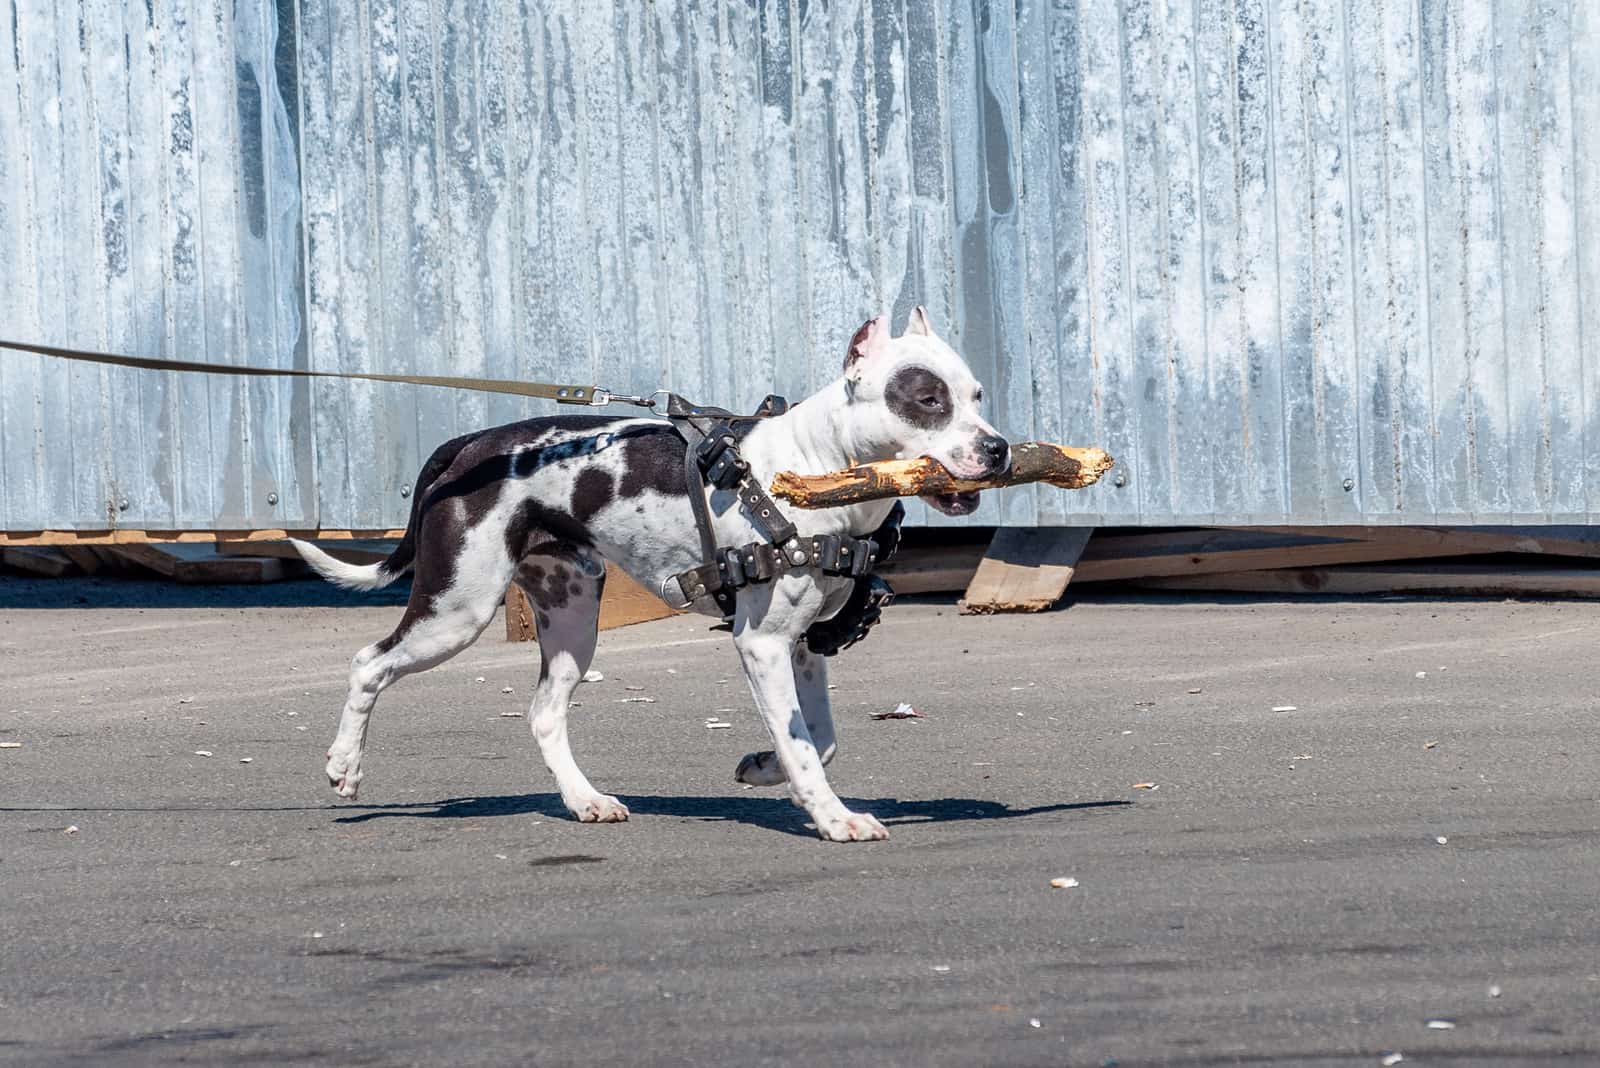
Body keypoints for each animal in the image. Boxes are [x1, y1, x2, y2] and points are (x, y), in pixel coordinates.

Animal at [294, 308, 1004, 844]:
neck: (815, 466)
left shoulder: (801, 647)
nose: (997, 448)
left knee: (544, 714)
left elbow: (818, 738)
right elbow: (806, 745)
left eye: (977, 396)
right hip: (457, 611)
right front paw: (834, 818)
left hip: (572, 618)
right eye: (927, 401)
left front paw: (764, 766)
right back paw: (345, 766)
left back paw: (586, 800)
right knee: (369, 662)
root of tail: (471, 446)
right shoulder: (762, 643)